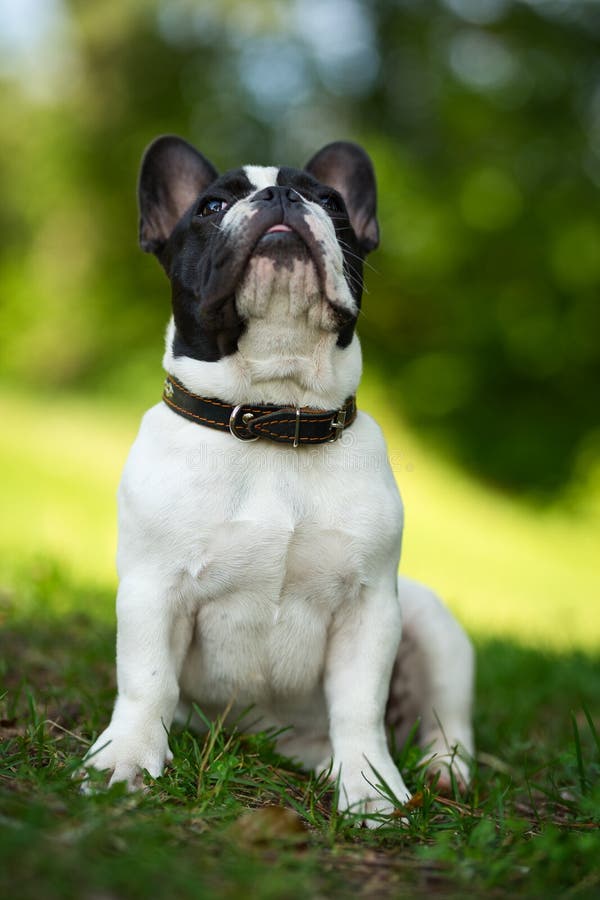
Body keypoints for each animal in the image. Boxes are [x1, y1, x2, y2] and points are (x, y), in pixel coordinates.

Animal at [84, 137, 476, 820]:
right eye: (212, 206)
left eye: (331, 203)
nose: (281, 197)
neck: (274, 414)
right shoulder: (153, 588)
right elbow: (147, 681)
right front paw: (127, 758)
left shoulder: (369, 607)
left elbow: (360, 705)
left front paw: (369, 787)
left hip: (431, 621)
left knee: (446, 717)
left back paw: (440, 769)